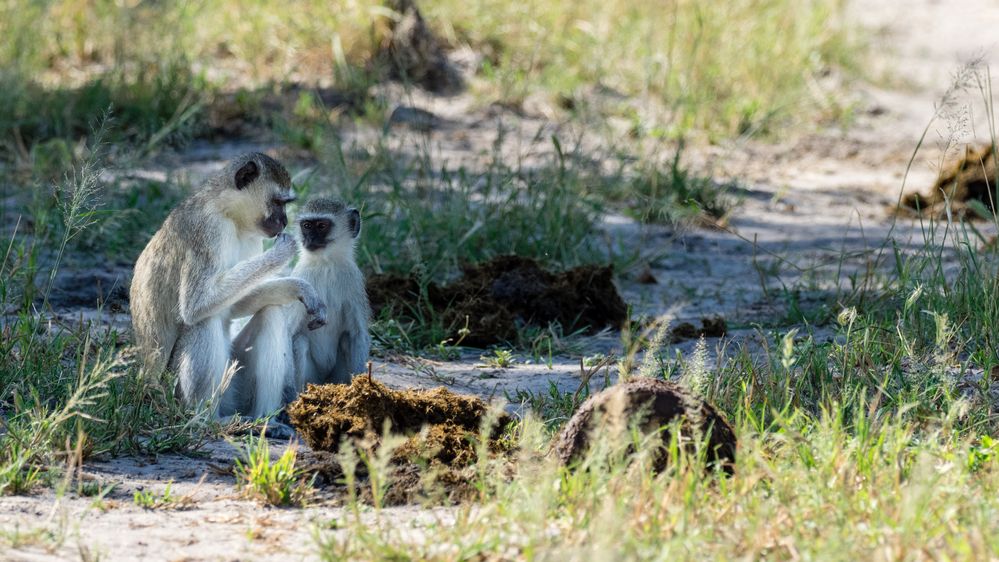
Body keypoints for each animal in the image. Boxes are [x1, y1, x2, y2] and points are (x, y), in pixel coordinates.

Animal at [131, 152, 326, 406]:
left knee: (271, 312)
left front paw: (300, 288)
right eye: (277, 203)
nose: (284, 221)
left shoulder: (253, 239)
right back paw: (202, 414)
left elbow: (234, 305)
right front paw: (282, 253)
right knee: (204, 320)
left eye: (284, 204)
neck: (228, 212)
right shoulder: (209, 229)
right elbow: (197, 304)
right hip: (172, 385)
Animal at [225, 197, 370, 416]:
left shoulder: (353, 281)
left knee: (346, 340)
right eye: (307, 226)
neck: (326, 264)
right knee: (300, 342)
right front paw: (289, 397)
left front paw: (361, 391)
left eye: (321, 226)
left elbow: (357, 334)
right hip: (312, 378)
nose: (309, 239)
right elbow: (290, 331)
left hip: (332, 378)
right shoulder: (304, 276)